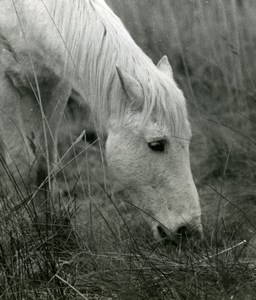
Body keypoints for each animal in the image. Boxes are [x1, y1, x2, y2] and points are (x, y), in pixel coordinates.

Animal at [0, 0, 204, 244]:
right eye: (156, 145)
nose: (189, 232)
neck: (21, 12)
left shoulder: (53, 86)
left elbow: (43, 165)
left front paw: (45, 230)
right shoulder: (6, 88)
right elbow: (23, 167)